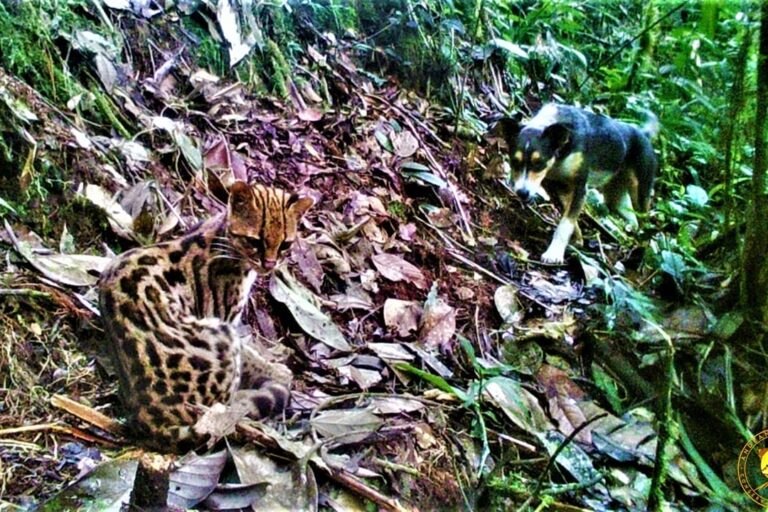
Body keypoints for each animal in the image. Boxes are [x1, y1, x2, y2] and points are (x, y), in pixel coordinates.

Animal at [100, 181, 316, 452]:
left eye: (285, 244)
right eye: (254, 241)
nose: (269, 265)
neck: (221, 233)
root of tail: (145, 414)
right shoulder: (224, 316)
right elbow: (249, 356)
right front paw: (277, 371)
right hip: (219, 336)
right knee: (222, 407)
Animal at [500, 104, 656, 264]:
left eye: (539, 163)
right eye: (514, 162)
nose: (522, 193)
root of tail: (644, 135)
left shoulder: (579, 188)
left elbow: (565, 224)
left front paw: (554, 253)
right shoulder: (559, 187)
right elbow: (570, 220)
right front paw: (577, 242)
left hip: (639, 194)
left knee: (646, 226)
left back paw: (640, 254)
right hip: (616, 200)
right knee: (633, 220)